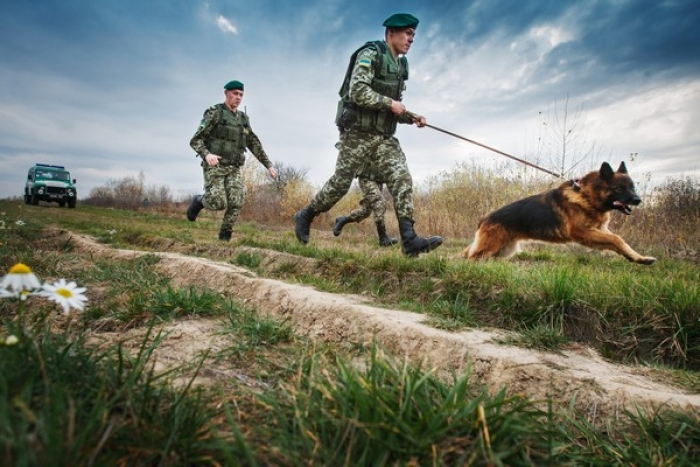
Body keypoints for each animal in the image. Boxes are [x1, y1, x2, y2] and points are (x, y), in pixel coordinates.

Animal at [464, 163, 656, 266]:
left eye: (632, 187)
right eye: (619, 189)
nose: (638, 200)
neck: (586, 196)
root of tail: (484, 219)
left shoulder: (598, 231)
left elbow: (618, 243)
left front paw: (638, 258)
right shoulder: (583, 233)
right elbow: (617, 239)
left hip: (503, 250)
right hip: (490, 249)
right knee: (470, 258)